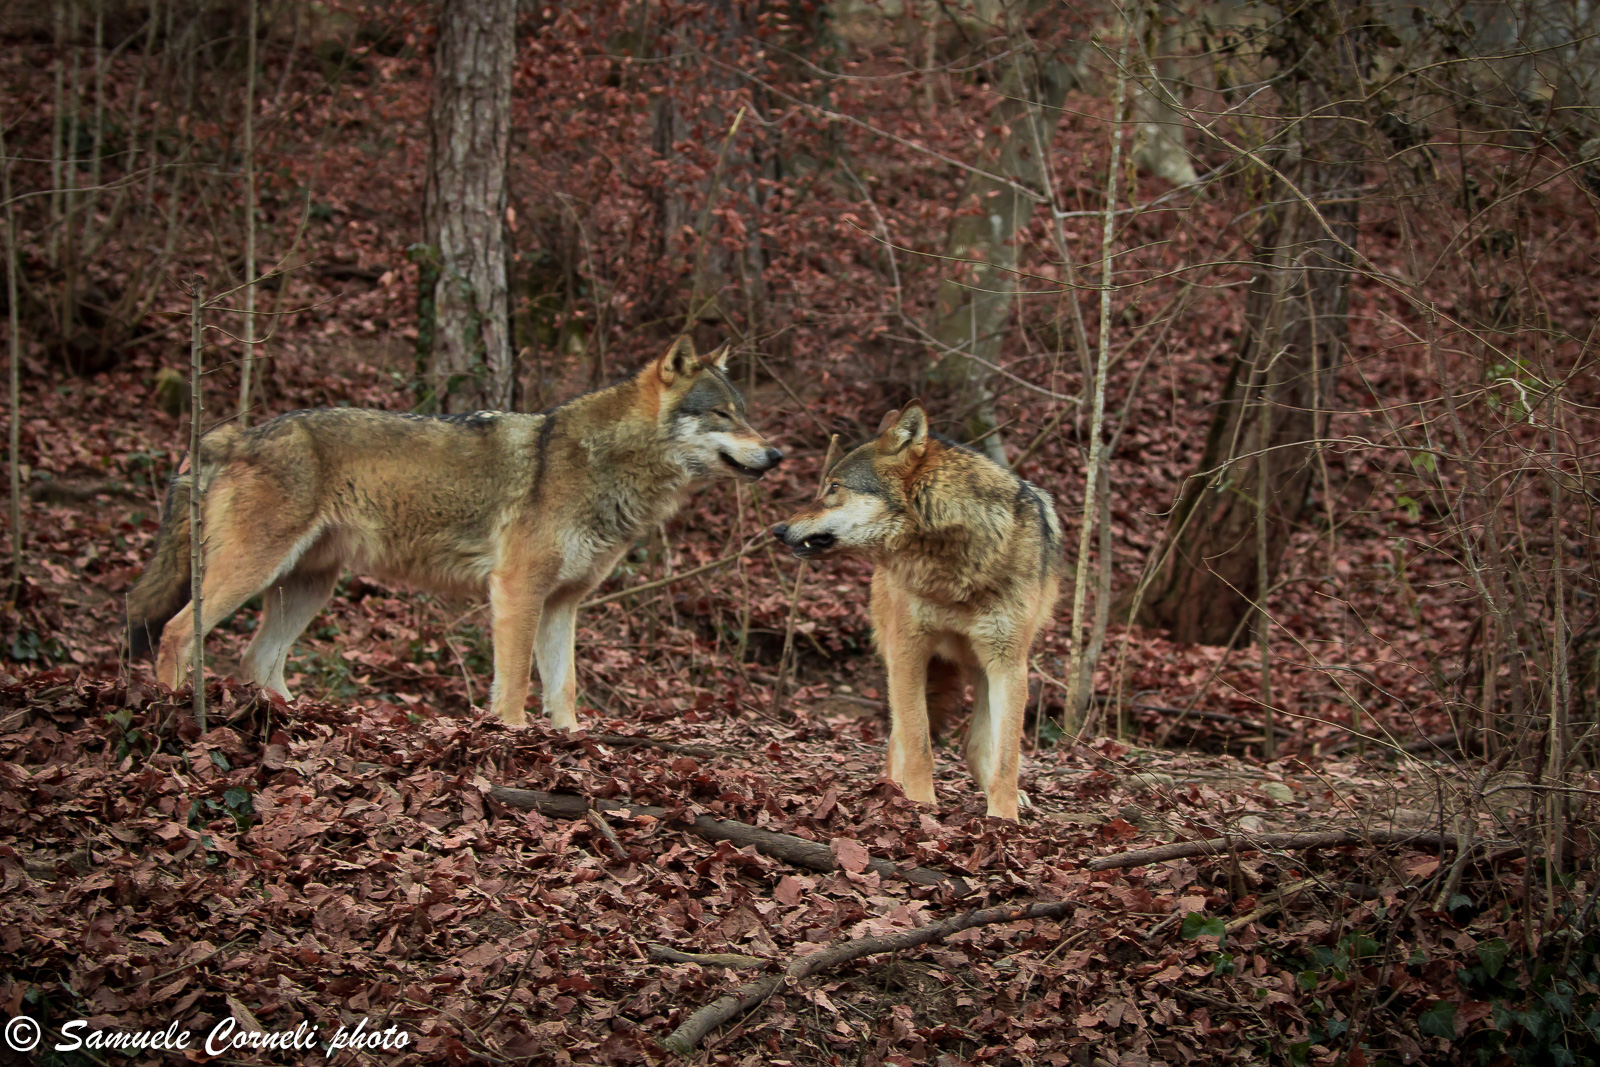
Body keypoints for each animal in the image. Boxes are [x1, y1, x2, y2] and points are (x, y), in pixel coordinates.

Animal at [125, 337, 782, 729]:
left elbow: (564, 690)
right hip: (249, 574)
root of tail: (234, 434)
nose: (776, 453)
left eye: (745, 414)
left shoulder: (562, 604)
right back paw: (178, 712)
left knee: (257, 662)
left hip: (309, 587)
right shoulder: (517, 592)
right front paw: (514, 743)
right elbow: (514, 687)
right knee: (178, 633)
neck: (607, 463)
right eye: (721, 414)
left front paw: (571, 748)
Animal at [771, 401, 1063, 819]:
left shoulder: (1008, 662)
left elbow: (1007, 755)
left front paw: (1004, 817)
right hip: (900, 658)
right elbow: (918, 742)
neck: (953, 567)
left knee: (974, 745)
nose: (778, 529)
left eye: (834, 487)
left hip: (982, 667)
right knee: (901, 739)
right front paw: (919, 803)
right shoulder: (910, 650)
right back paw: (891, 787)